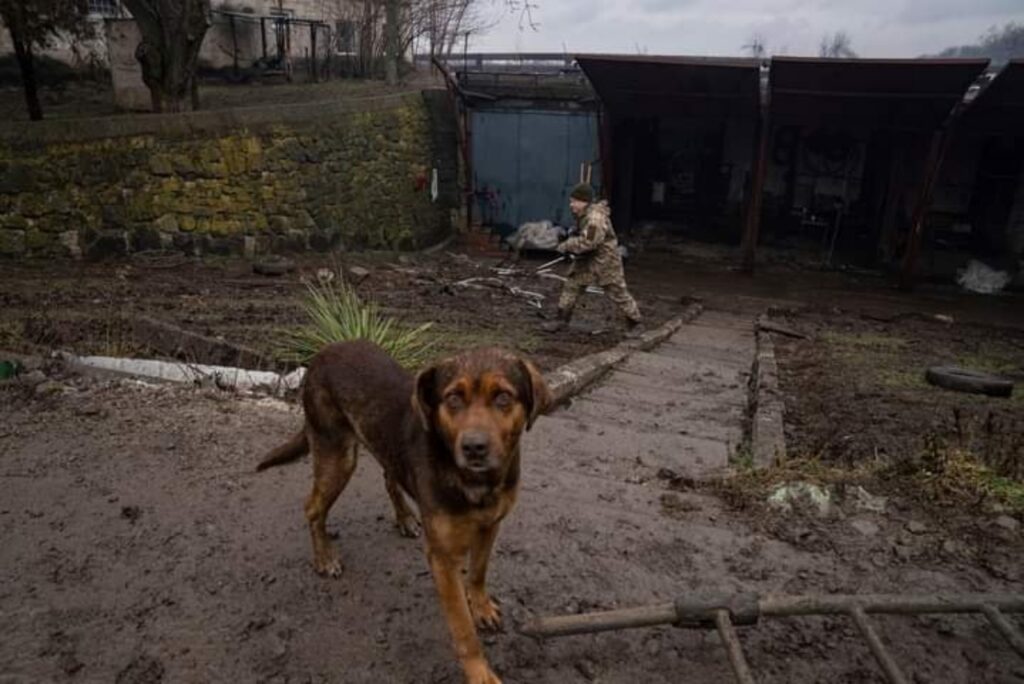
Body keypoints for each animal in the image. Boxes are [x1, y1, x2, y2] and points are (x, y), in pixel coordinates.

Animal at [258, 339, 552, 684]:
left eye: (503, 397)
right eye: (453, 398)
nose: (473, 448)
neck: (476, 481)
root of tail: (324, 352)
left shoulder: (490, 525)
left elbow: (479, 572)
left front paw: (480, 606)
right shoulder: (443, 559)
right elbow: (463, 630)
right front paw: (480, 673)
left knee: (389, 477)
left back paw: (405, 518)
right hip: (338, 456)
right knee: (313, 507)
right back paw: (325, 558)